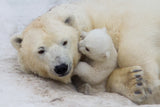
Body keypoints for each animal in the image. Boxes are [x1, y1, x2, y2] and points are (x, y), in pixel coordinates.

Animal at [10, 0, 160, 104]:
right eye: (41, 50)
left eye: (64, 42)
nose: (61, 67)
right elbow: (96, 79)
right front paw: (134, 82)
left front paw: (149, 83)